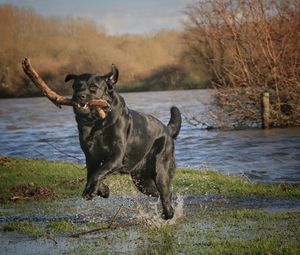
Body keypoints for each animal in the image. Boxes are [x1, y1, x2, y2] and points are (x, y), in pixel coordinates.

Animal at [65, 64, 182, 219]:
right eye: (77, 86)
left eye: (93, 87)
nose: (79, 95)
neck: (96, 123)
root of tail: (167, 131)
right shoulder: (90, 157)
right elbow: (92, 173)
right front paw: (103, 190)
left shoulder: (116, 157)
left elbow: (98, 173)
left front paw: (92, 190)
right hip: (142, 181)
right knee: (156, 192)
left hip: (161, 169)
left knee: (165, 191)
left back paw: (168, 213)